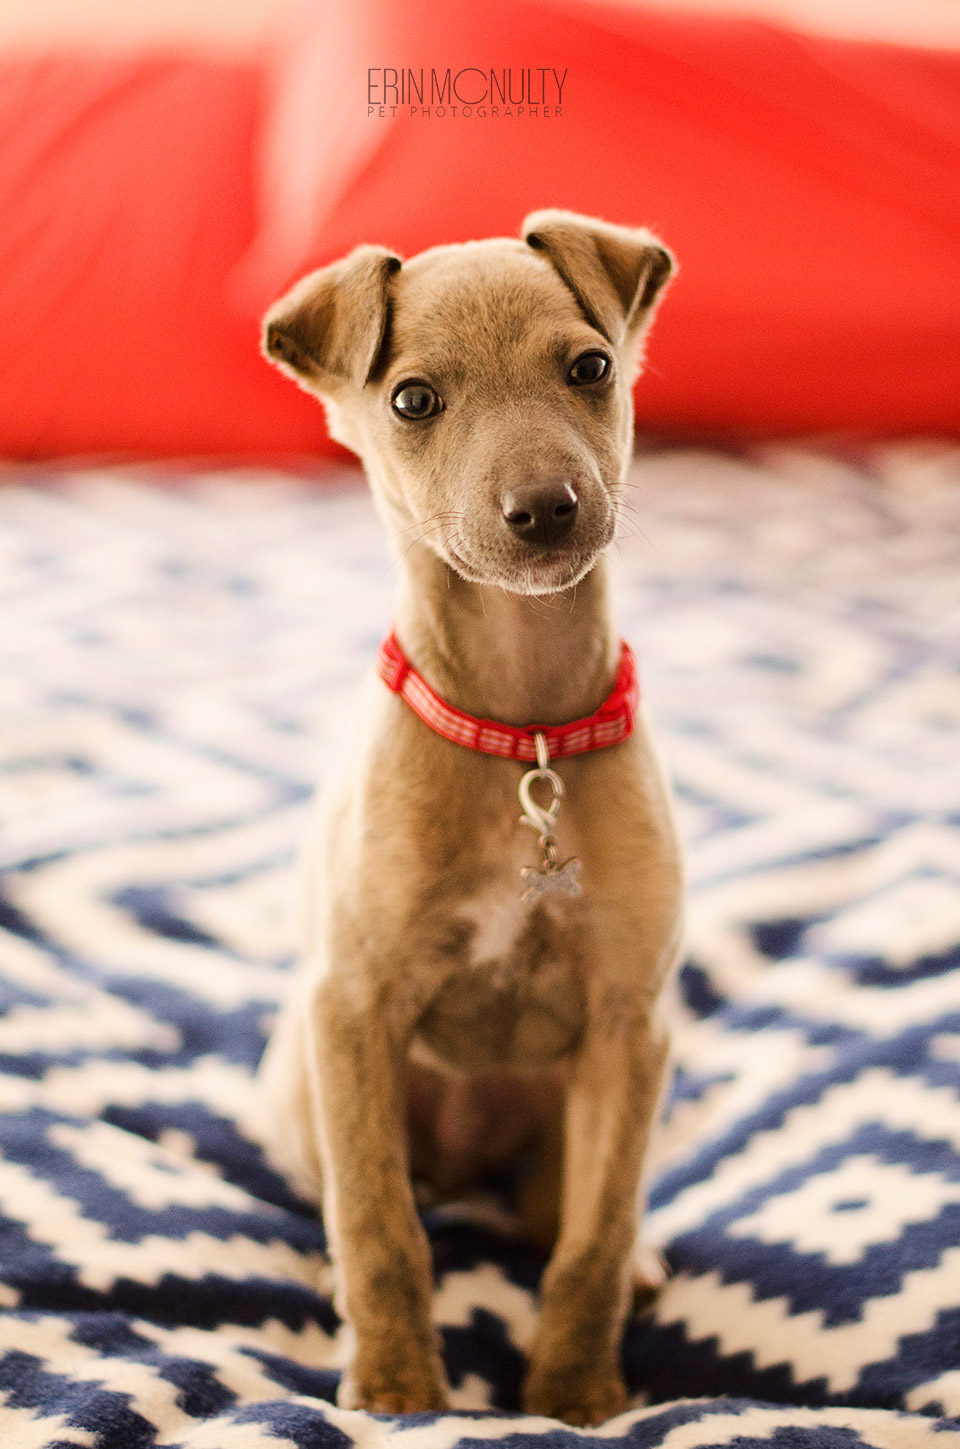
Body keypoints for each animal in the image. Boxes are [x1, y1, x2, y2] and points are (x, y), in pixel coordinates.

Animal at [259, 214, 686, 1425]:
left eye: (590, 368)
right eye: (412, 400)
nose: (545, 508)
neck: (522, 738)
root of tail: (465, 1160)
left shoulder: (629, 1026)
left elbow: (590, 1243)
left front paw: (577, 1394)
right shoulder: (353, 1009)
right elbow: (378, 1224)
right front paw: (401, 1388)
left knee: (563, 1216)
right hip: (306, 1078)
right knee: (371, 1196)